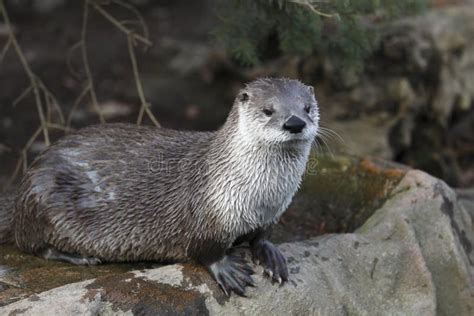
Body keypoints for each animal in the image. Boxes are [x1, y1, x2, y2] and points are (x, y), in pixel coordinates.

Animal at [0, 78, 320, 296]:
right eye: (268, 110)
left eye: (307, 108)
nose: (294, 123)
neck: (260, 198)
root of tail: (21, 190)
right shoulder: (207, 212)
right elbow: (205, 250)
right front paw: (228, 269)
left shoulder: (273, 213)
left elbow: (261, 237)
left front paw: (270, 255)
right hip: (41, 198)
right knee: (32, 244)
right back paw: (81, 257)